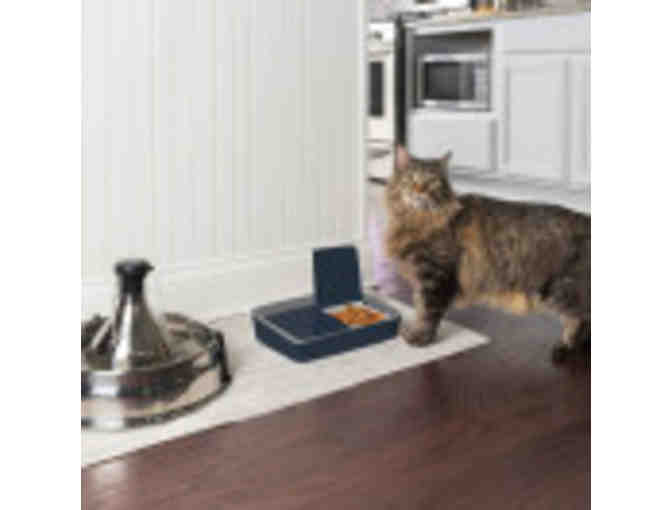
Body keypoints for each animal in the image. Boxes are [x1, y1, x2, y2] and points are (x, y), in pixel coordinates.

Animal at [385, 146, 590, 362]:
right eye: (410, 178)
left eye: (432, 181)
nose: (419, 191)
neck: (417, 220)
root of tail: (587, 219)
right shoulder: (421, 279)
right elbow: (419, 306)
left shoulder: (434, 277)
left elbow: (427, 312)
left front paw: (420, 338)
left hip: (561, 290)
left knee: (581, 319)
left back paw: (565, 345)